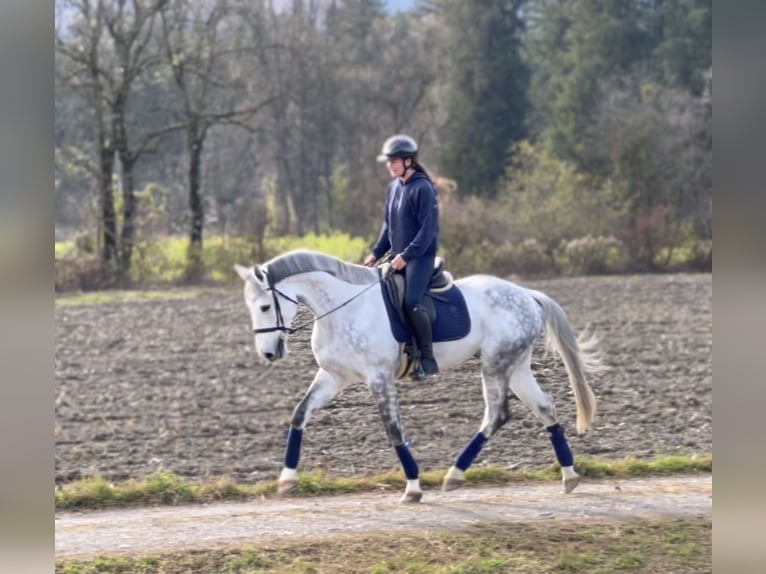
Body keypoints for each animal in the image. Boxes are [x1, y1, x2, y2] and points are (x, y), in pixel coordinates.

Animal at [234, 251, 600, 504]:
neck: (341, 308)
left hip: (496, 363)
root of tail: (528, 295)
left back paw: (454, 474)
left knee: (497, 414)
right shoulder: (333, 376)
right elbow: (299, 415)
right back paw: (569, 476)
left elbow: (394, 431)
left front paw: (412, 488)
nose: (269, 354)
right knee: (545, 408)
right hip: (517, 365)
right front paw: (287, 479)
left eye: (265, 307)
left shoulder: (379, 378)